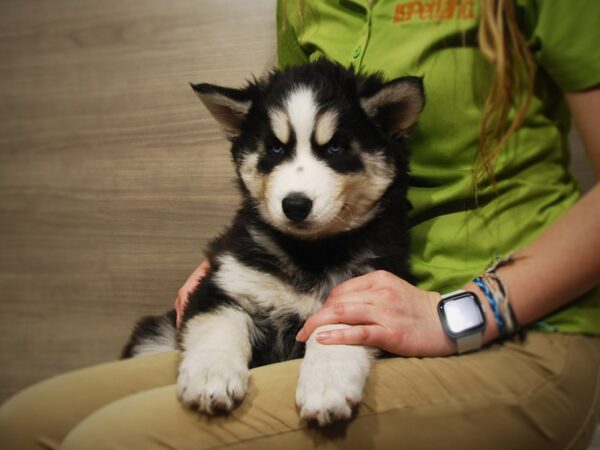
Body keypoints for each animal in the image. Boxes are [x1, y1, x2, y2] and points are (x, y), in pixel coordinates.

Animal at [123, 59, 422, 426]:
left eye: (336, 147)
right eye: (276, 148)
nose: (294, 205)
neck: (310, 252)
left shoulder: (369, 291)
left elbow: (335, 328)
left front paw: (326, 385)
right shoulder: (221, 283)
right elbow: (218, 324)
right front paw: (211, 376)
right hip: (154, 336)